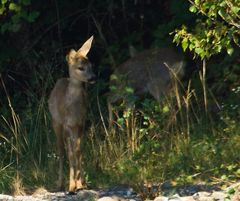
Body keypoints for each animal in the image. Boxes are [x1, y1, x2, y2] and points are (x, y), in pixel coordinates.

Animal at [48, 35, 96, 192]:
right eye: (80, 68)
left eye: (91, 65)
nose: (93, 78)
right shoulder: (67, 125)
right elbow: (70, 154)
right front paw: (72, 185)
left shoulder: (81, 124)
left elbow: (78, 152)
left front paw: (81, 184)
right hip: (56, 123)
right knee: (61, 150)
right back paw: (60, 183)